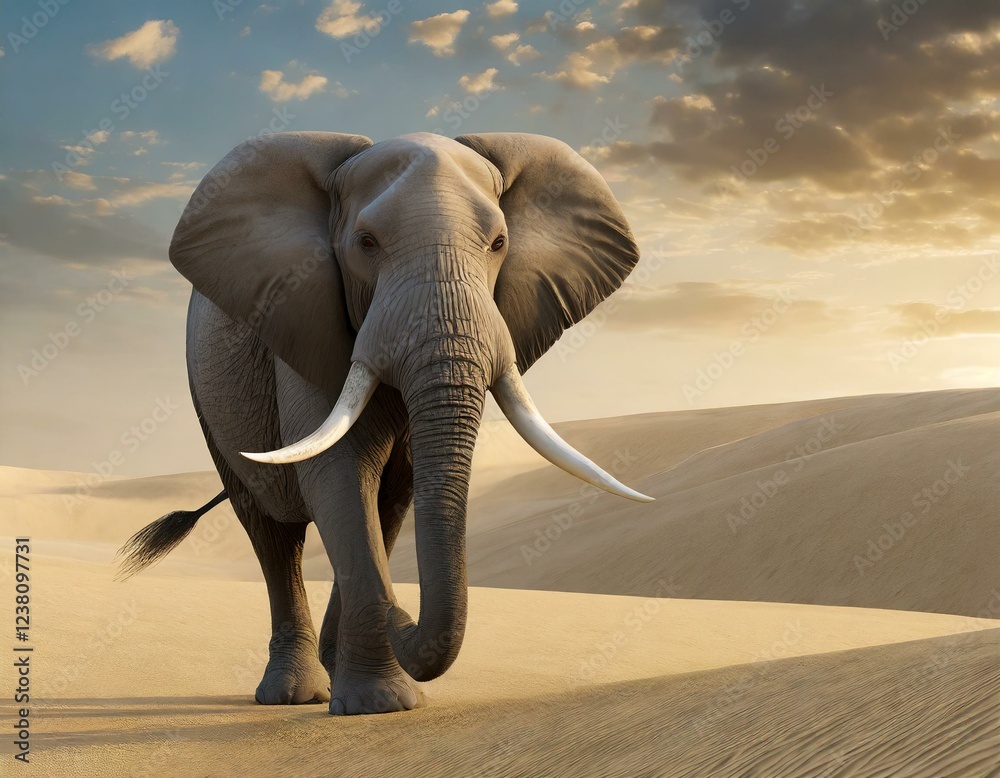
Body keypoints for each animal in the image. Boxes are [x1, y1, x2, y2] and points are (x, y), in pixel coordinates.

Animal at [119, 130, 652, 715]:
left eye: (498, 244)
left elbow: (391, 490)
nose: (405, 614)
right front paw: (382, 703)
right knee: (271, 533)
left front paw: (377, 689)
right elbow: (340, 475)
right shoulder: (308, 320)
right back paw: (292, 693)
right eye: (366, 242)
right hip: (206, 401)